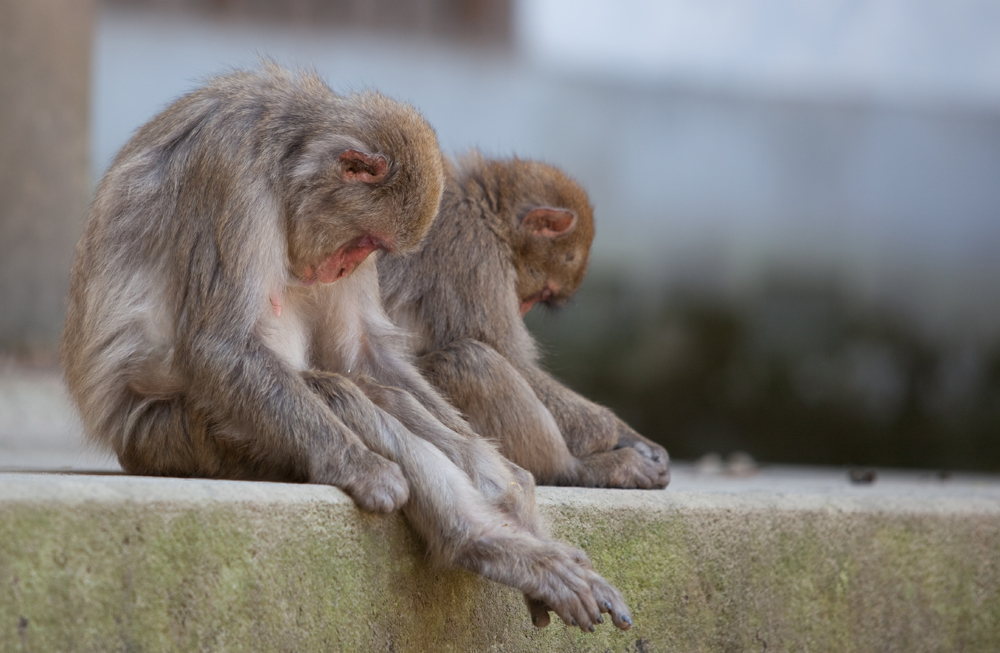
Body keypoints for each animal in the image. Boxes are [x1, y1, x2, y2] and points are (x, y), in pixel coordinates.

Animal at [58, 62, 628, 632]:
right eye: (366, 241)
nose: (346, 266)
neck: (285, 154)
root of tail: (125, 446)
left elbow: (363, 352)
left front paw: (497, 472)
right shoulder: (228, 170)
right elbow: (219, 344)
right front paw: (363, 470)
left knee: (375, 388)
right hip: (178, 438)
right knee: (340, 390)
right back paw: (483, 541)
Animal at [378, 153, 668, 488]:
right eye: (545, 291)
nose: (521, 311)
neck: (484, 209)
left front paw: (630, 435)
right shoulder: (473, 252)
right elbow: (508, 354)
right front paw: (610, 430)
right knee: (470, 360)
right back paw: (576, 470)